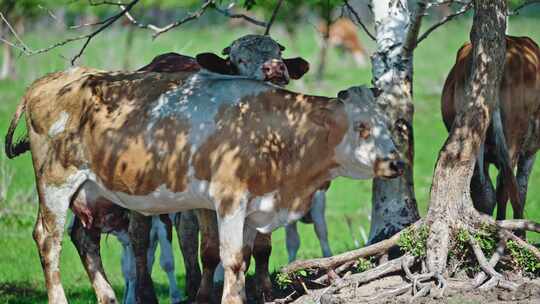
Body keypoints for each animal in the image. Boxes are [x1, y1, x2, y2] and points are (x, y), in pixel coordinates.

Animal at [4, 61, 400, 302]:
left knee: (84, 239)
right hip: (56, 182)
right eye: (362, 127)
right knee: (49, 240)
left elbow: (243, 259)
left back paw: (108, 296)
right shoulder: (229, 199)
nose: (396, 162)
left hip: (95, 190)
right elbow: (231, 260)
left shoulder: (254, 209)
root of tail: (48, 81)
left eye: (390, 123)